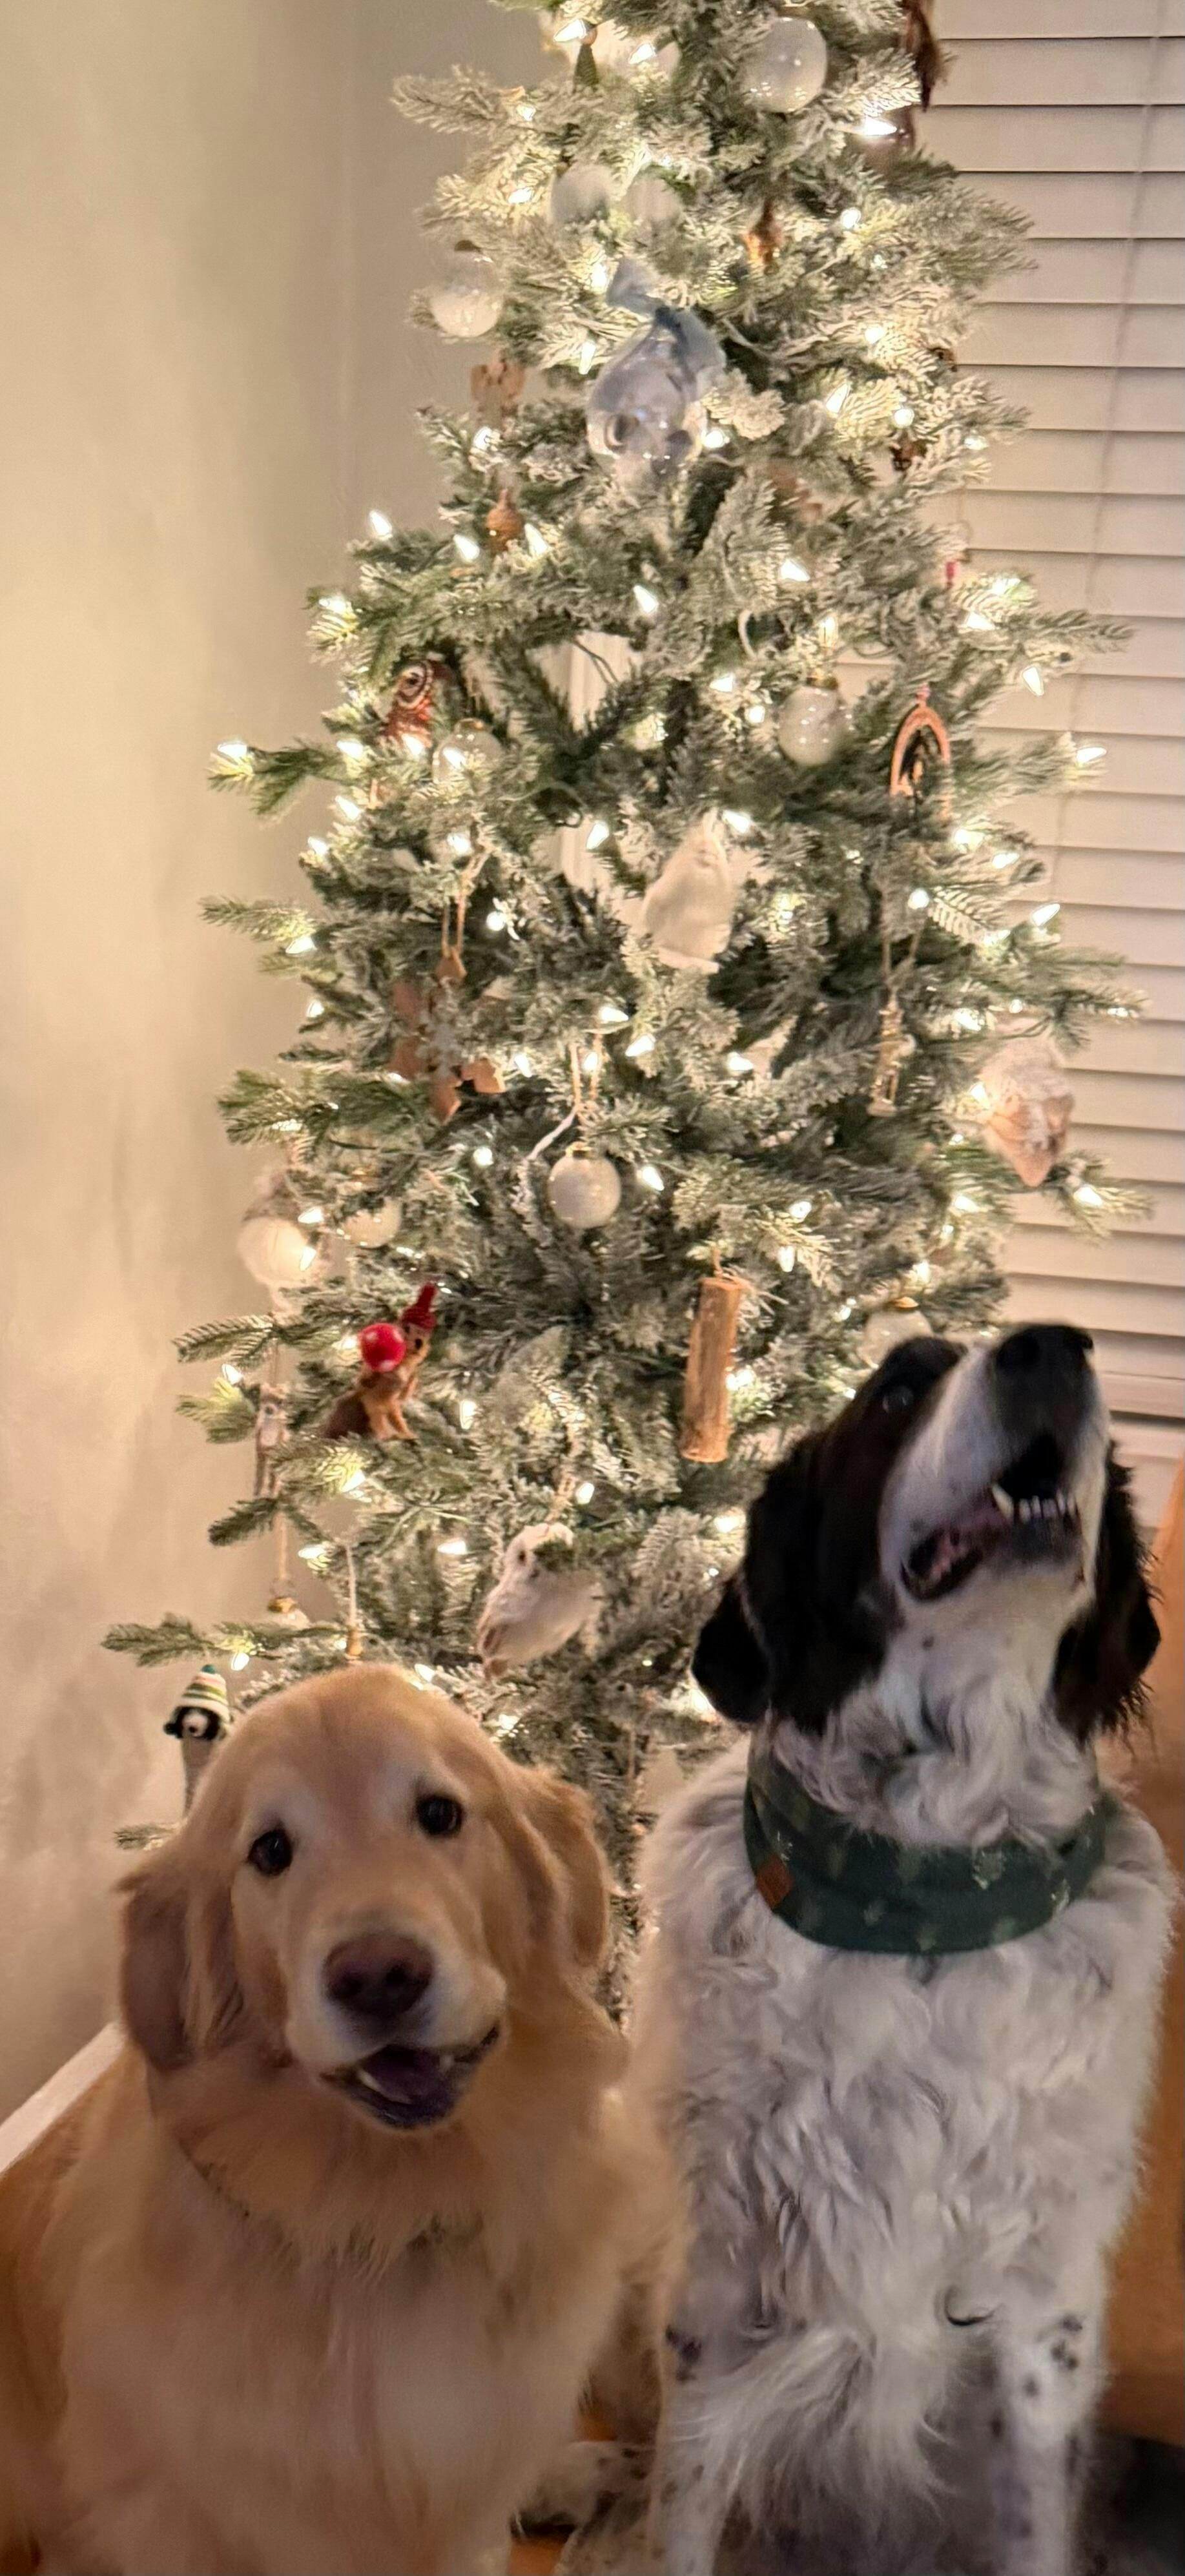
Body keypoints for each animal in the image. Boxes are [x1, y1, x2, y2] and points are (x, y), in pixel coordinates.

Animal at [630, 1324, 1175, 2576]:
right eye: (895, 1390)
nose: (1052, 1346)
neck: (923, 1897)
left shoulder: (1039, 2325)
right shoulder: (714, 2295)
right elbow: (681, 2506)